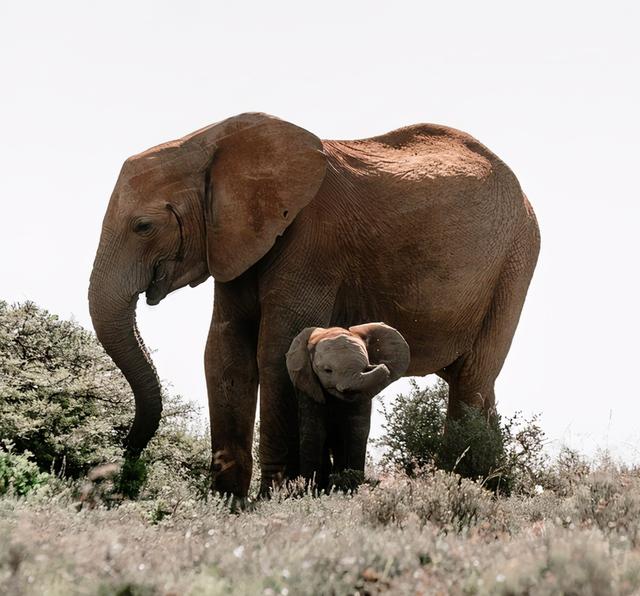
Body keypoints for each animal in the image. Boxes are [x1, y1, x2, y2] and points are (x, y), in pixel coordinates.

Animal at [286, 324, 410, 486]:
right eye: (327, 370)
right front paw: (308, 487)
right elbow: (314, 432)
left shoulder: (362, 396)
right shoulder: (309, 389)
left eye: (365, 367)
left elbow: (357, 431)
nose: (379, 366)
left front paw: (353, 484)